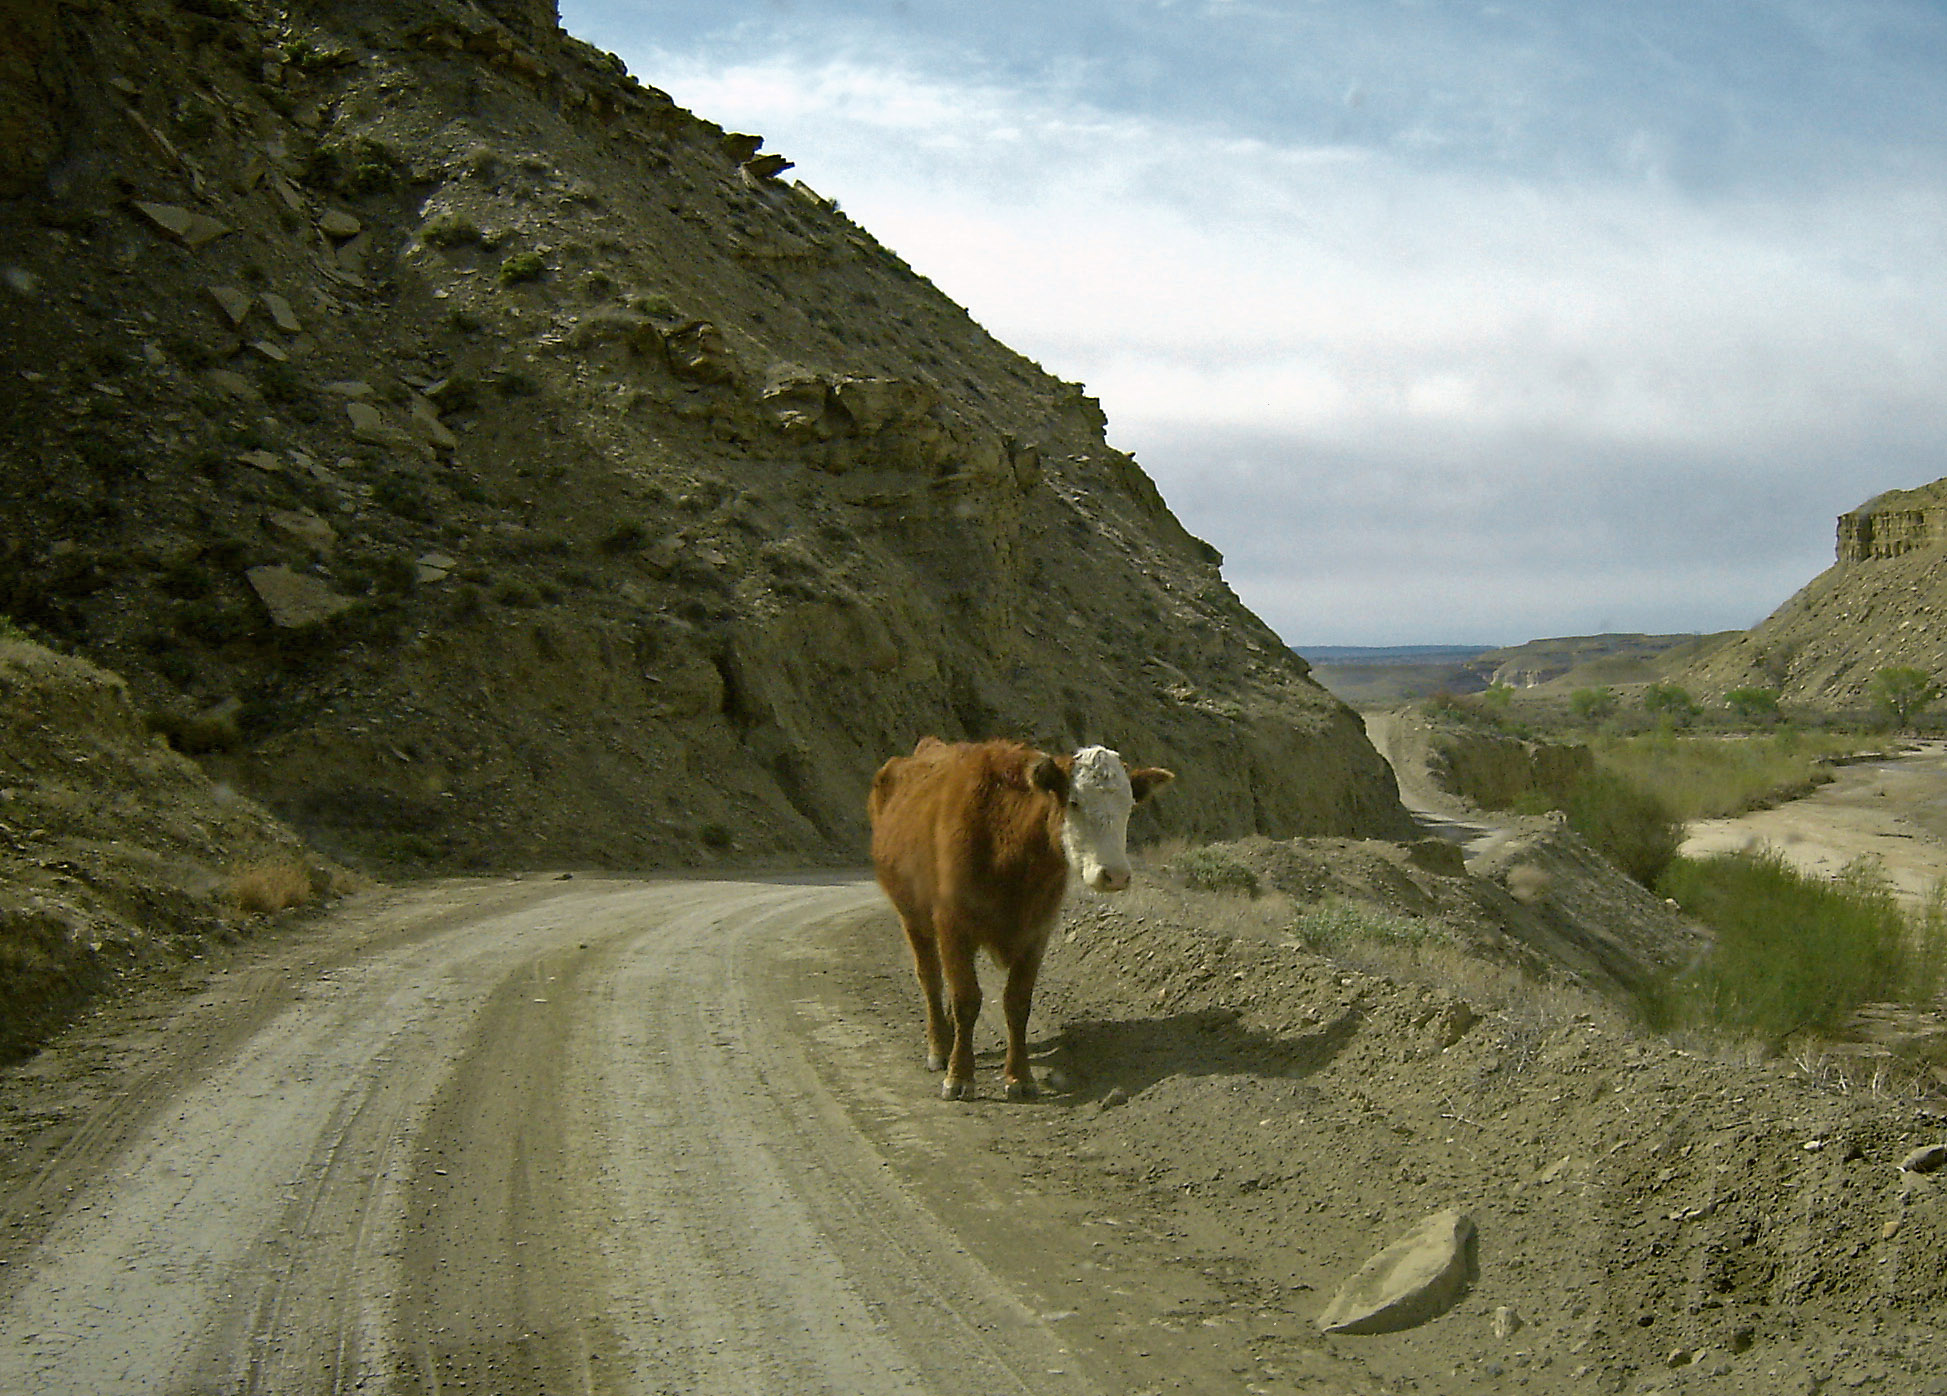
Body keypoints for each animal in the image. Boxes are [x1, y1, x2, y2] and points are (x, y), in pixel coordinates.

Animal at [868, 737, 1174, 1100]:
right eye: (1074, 802)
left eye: (1129, 806)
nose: (1114, 875)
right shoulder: (953, 924)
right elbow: (966, 998)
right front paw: (959, 1075)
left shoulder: (1036, 932)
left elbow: (1016, 1003)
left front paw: (1019, 1077)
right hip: (913, 918)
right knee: (930, 980)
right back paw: (939, 1048)